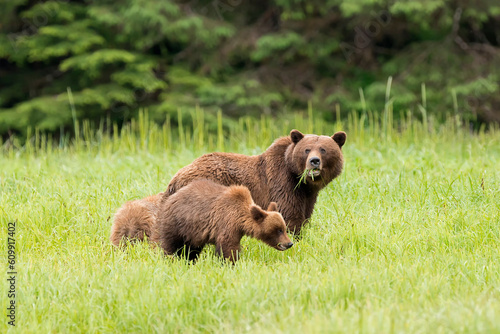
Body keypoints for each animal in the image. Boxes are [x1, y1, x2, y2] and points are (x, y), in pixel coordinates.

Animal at [166, 129, 346, 234]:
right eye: (307, 150)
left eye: (323, 149)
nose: (314, 161)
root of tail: (176, 177)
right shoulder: (283, 183)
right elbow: (288, 214)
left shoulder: (308, 195)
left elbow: (305, 215)